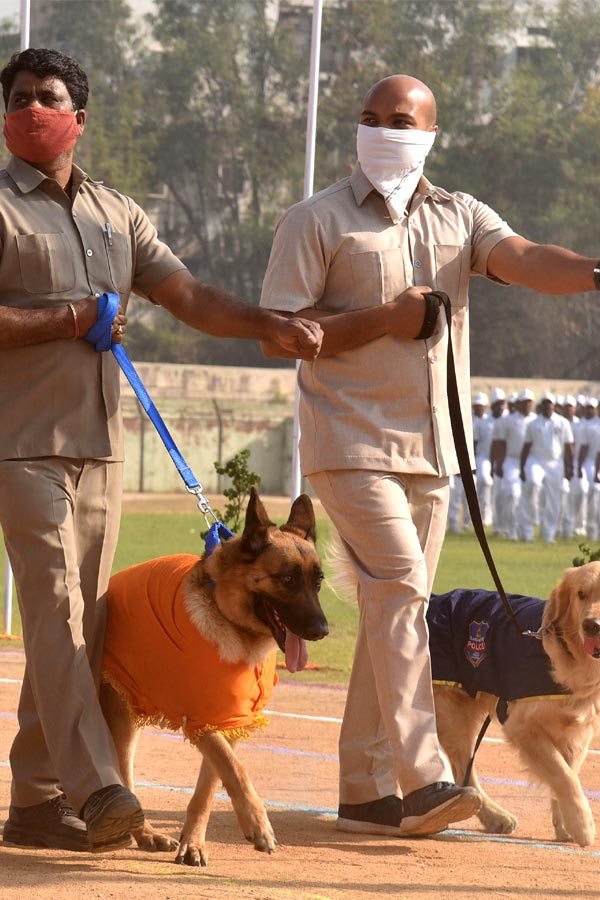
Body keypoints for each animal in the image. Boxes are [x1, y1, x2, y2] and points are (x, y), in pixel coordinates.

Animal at [101, 488, 330, 868]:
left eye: (318, 582)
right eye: (287, 579)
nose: (322, 630)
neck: (229, 617)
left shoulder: (227, 720)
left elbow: (210, 786)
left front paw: (193, 844)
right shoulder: (201, 718)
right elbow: (237, 770)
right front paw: (259, 825)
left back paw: (145, 834)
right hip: (116, 716)